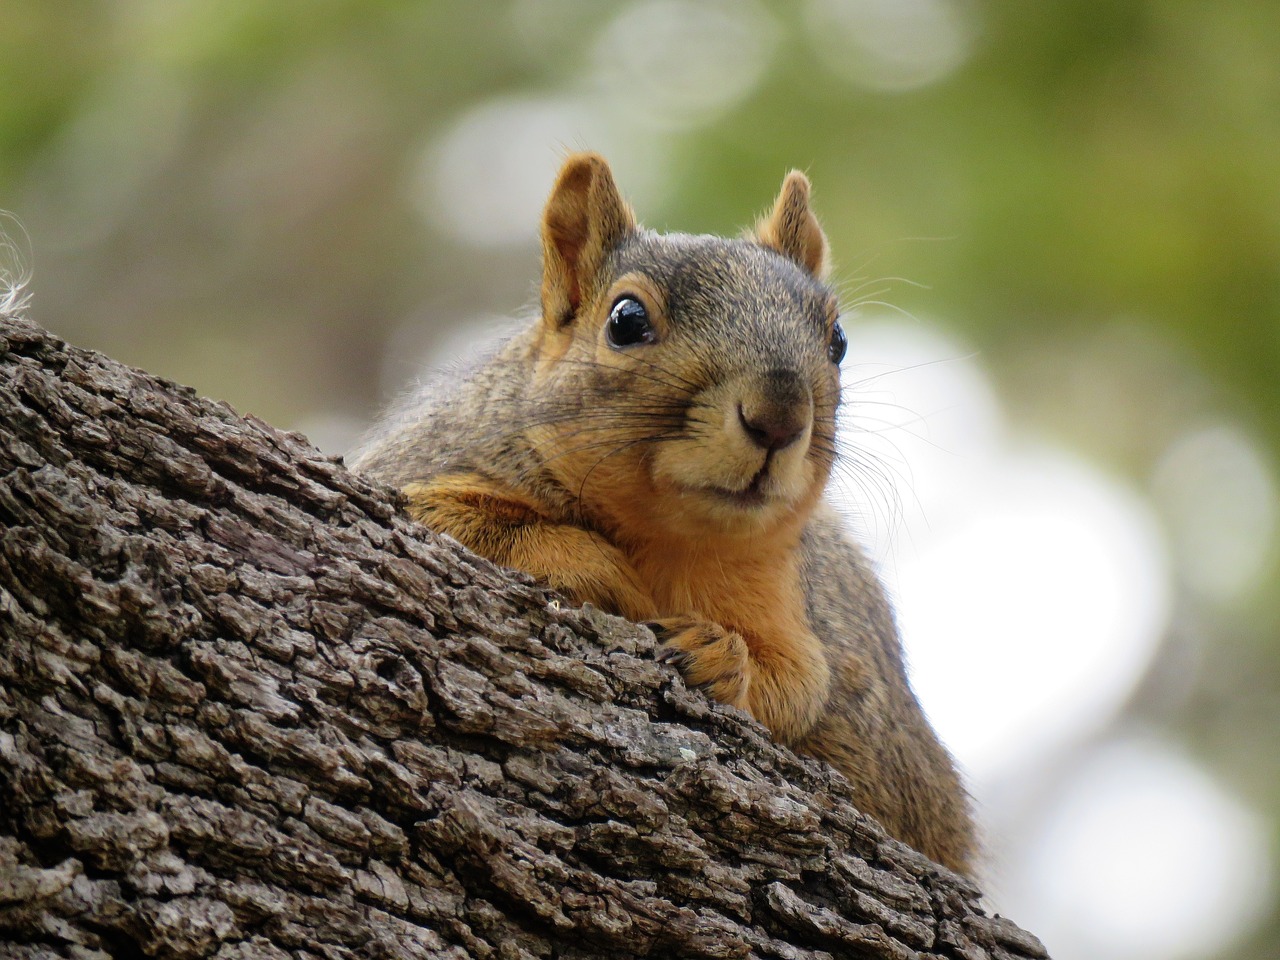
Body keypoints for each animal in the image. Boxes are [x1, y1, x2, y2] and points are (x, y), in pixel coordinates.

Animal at [348, 154, 967, 875]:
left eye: (837, 340)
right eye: (624, 320)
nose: (780, 415)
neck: (667, 536)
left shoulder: (791, 600)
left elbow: (799, 684)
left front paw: (719, 653)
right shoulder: (414, 467)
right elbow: (451, 512)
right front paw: (598, 568)